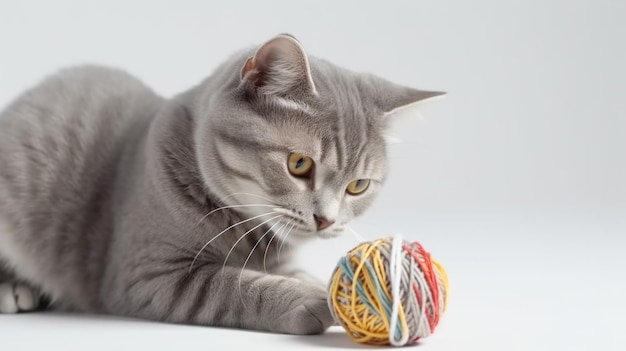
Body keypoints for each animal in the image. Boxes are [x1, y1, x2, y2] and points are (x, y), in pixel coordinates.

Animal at [0, 34, 442, 336]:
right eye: (299, 164)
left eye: (358, 186)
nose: (326, 221)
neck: (249, 234)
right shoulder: (146, 276)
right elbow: (229, 286)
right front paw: (310, 300)